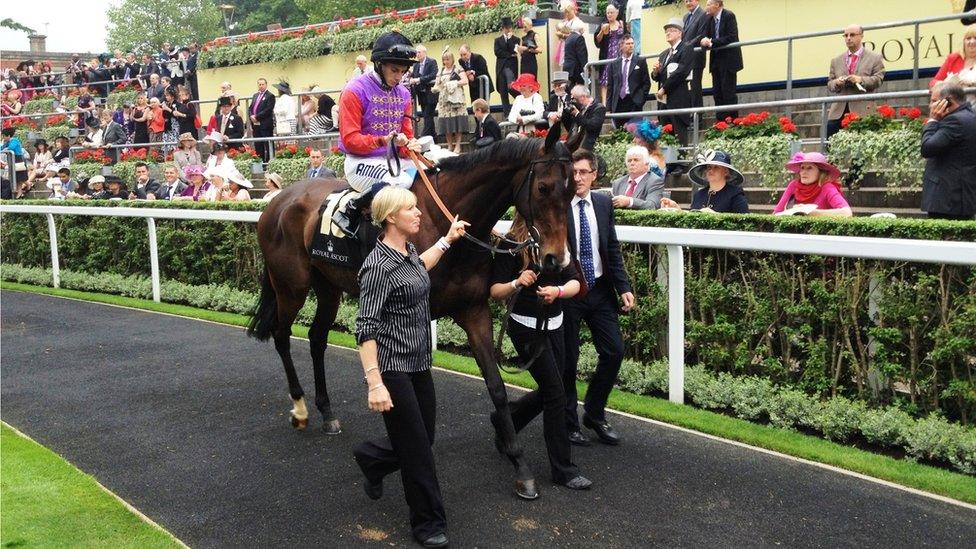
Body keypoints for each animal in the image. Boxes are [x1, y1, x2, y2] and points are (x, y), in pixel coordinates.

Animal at [248, 130, 580, 496]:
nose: (556, 259)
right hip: (290, 285)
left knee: (317, 338)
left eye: (573, 189)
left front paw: (519, 465)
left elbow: (496, 387)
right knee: (281, 335)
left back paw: (327, 411)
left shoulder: (474, 311)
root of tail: (277, 201)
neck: (442, 221)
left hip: (328, 286)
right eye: (544, 187)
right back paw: (300, 408)